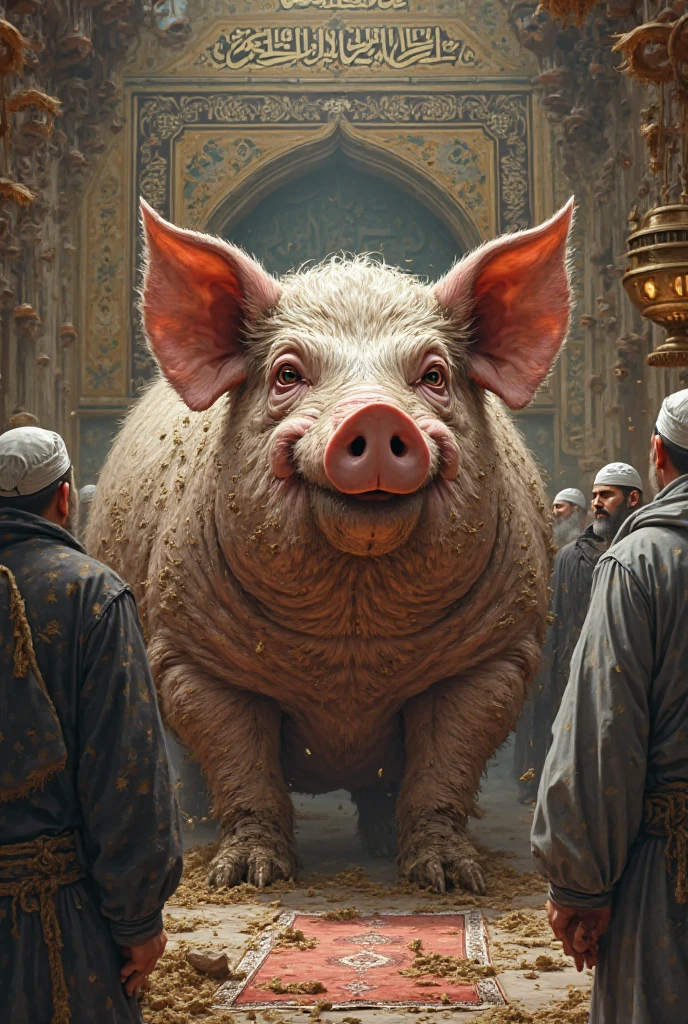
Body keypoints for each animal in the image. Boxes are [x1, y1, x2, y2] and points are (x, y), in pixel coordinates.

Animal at [87, 196, 573, 894]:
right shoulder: (186, 654)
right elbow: (240, 760)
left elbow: (445, 764)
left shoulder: (497, 656)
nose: (375, 413)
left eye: (433, 375)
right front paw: (247, 879)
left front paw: (451, 880)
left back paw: (378, 844)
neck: (351, 646)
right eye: (288, 373)